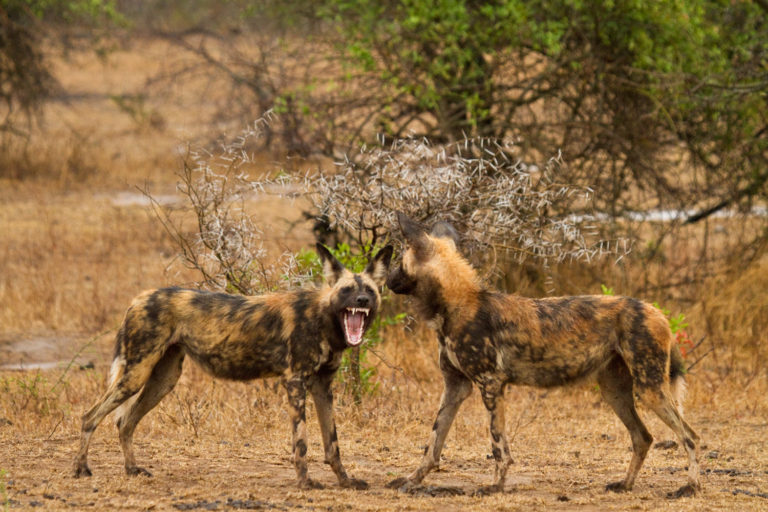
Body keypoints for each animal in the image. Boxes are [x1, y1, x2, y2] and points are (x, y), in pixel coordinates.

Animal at [75, 242, 392, 490]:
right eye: (347, 290)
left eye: (370, 290)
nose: (362, 300)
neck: (324, 318)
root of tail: (139, 298)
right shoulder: (296, 382)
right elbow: (301, 442)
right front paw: (305, 483)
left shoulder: (322, 387)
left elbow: (332, 444)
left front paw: (345, 481)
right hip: (135, 375)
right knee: (90, 416)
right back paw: (81, 469)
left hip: (162, 380)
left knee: (125, 422)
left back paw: (131, 470)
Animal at [388, 214, 700, 498]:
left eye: (399, 260)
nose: (388, 279)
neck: (457, 303)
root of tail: (657, 311)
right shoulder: (455, 387)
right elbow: (432, 444)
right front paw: (411, 480)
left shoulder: (491, 384)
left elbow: (498, 446)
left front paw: (495, 486)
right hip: (615, 392)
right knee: (643, 437)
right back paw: (625, 484)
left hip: (650, 391)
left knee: (690, 436)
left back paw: (690, 487)